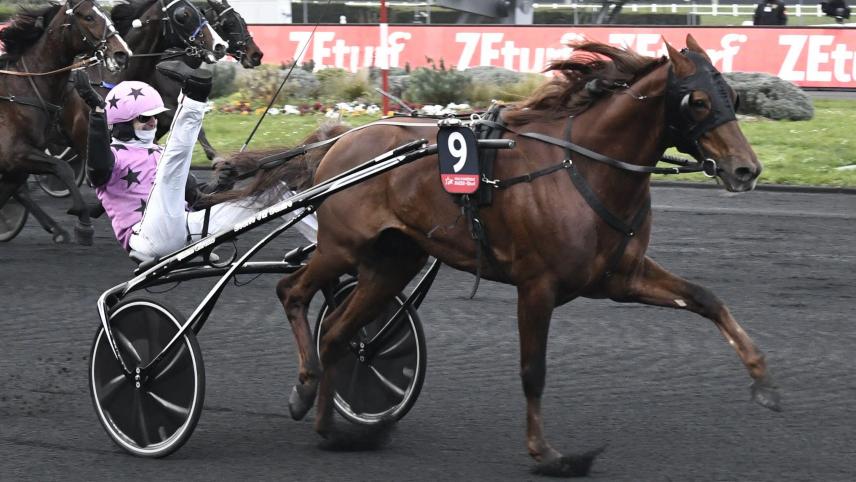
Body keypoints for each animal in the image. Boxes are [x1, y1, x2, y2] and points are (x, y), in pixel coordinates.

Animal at [0, 0, 130, 245]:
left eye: (107, 14)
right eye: (88, 17)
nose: (122, 53)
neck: (18, 91)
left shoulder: (18, 163)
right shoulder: (13, 153)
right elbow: (63, 168)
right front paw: (83, 220)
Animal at [224, 35, 780, 476]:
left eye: (733, 96)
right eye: (699, 101)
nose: (746, 170)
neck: (581, 167)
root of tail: (341, 141)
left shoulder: (620, 277)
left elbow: (706, 299)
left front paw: (763, 381)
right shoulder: (537, 286)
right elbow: (533, 370)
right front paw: (548, 454)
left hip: (393, 262)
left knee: (338, 331)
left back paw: (331, 428)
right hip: (342, 246)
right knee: (292, 292)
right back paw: (304, 388)